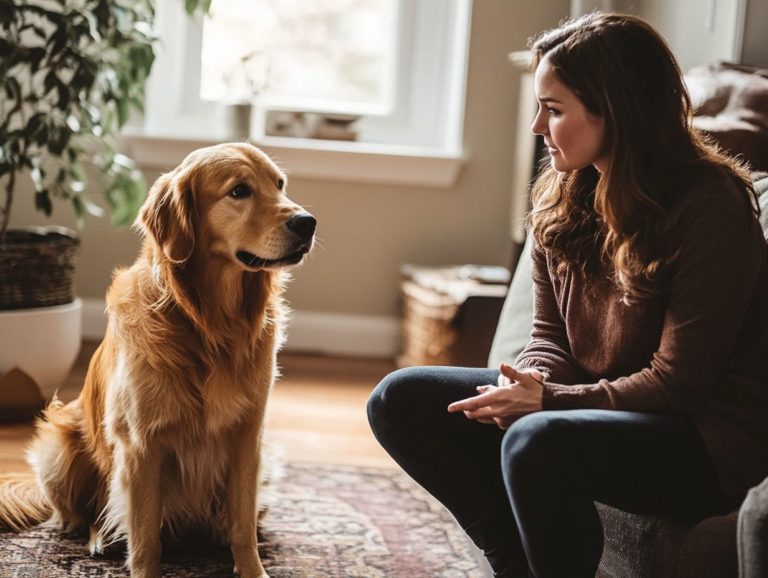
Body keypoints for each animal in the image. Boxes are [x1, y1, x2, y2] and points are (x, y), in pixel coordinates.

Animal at [0, 141, 316, 576]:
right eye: (239, 191)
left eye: (279, 184)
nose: (308, 223)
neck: (209, 324)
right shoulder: (141, 445)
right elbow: (146, 537)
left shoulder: (248, 437)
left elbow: (242, 526)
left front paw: (253, 569)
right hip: (56, 448)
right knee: (84, 514)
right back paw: (101, 537)